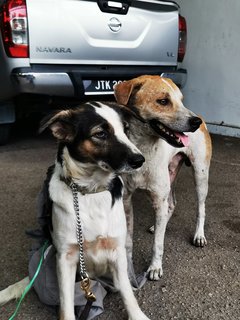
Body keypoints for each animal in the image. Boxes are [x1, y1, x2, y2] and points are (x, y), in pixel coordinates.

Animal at [0, 102, 150, 320]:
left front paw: (137, 315)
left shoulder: (117, 251)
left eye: (126, 130)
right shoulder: (65, 258)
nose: (140, 160)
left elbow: (127, 292)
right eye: (100, 134)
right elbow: (66, 301)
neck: (91, 190)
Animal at [114, 75, 212, 280]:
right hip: (170, 173)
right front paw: (127, 267)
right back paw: (159, 224)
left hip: (200, 175)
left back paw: (199, 235)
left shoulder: (159, 198)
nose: (195, 122)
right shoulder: (126, 200)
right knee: (172, 204)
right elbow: (128, 240)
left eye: (181, 100)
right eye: (163, 101)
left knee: (200, 207)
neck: (143, 151)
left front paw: (155, 267)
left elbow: (158, 243)